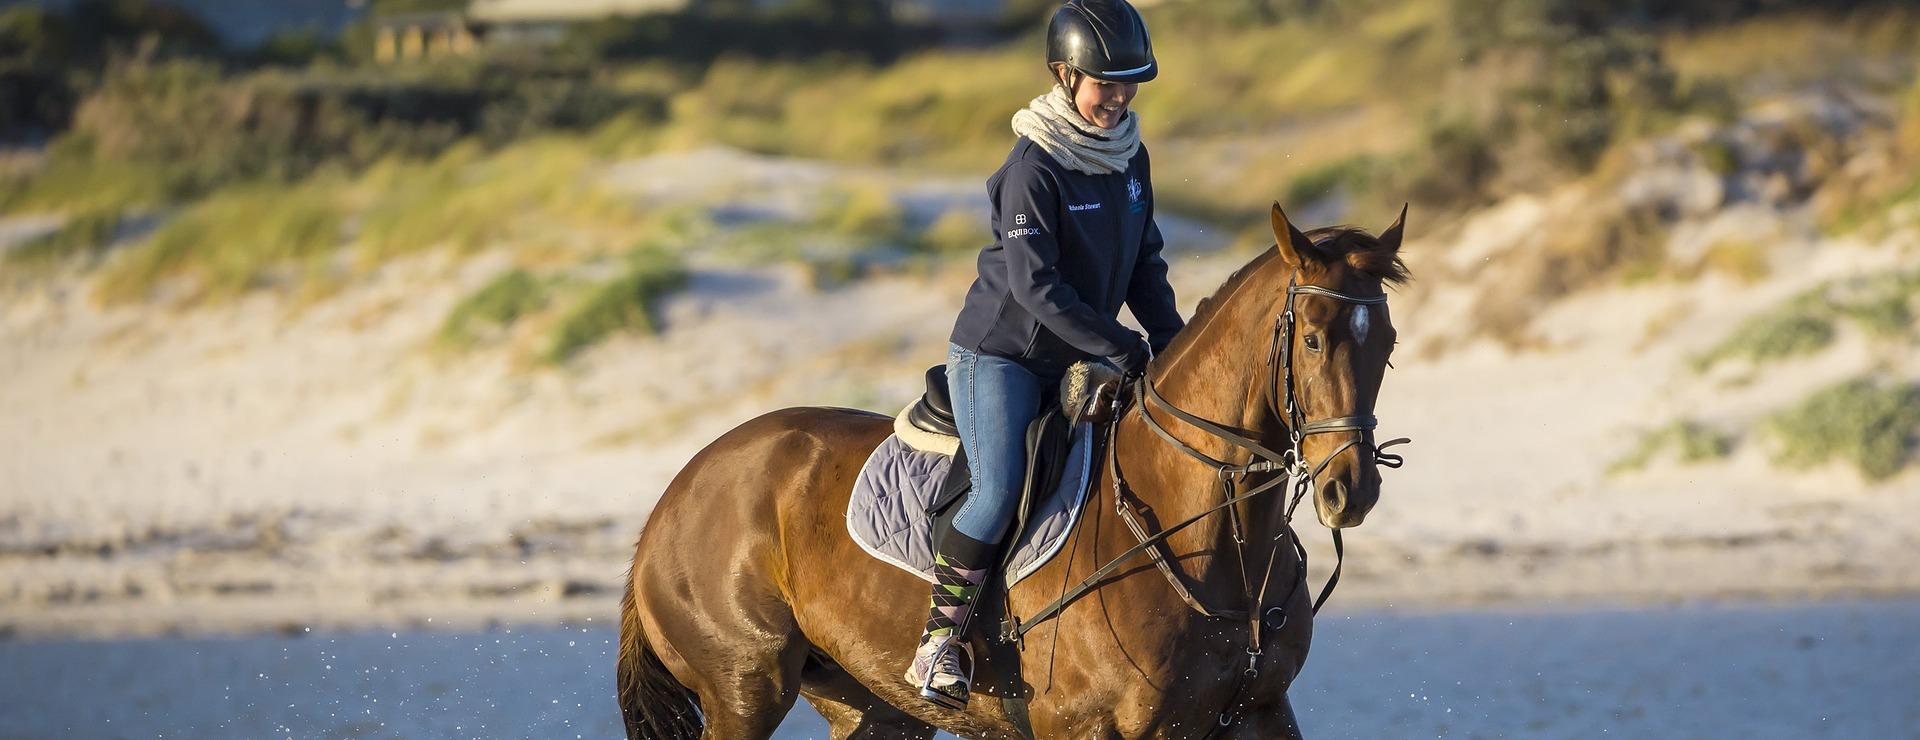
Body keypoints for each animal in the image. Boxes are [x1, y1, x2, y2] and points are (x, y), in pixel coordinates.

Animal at [618, 202, 1411, 739]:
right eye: (1313, 340)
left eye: (1388, 343)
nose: (1350, 490)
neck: (1211, 544)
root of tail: (677, 490)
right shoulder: (1087, 729)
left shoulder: (1261, 711)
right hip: (743, 688)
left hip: (869, 706)